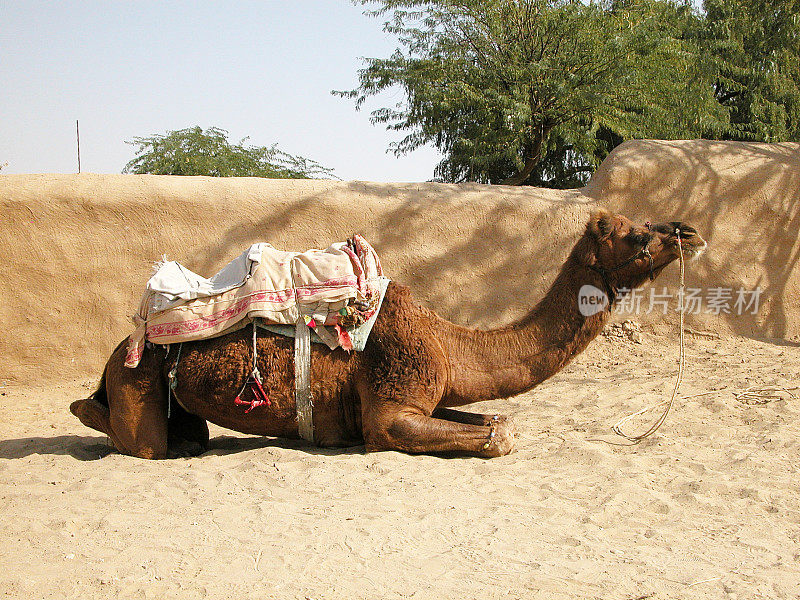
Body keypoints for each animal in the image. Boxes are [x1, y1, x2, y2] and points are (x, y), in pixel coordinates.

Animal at [70, 209, 708, 458]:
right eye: (633, 236)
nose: (688, 231)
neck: (448, 343)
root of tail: (122, 345)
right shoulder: (389, 412)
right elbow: (497, 436)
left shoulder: (429, 394)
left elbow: (495, 419)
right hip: (138, 376)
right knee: (136, 438)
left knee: (189, 435)